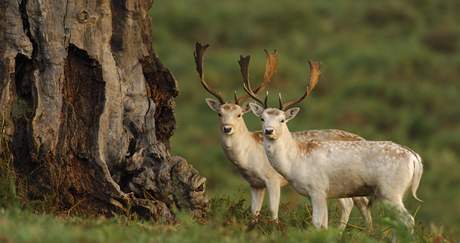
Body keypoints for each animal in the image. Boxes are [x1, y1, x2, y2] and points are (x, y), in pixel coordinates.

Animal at [195, 42, 374, 230]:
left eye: (239, 114)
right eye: (219, 114)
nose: (227, 128)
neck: (249, 158)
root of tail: (361, 138)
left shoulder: (272, 179)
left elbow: (273, 210)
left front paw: (274, 228)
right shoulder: (255, 185)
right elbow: (254, 212)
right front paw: (253, 228)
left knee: (351, 203)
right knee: (360, 202)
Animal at [244, 59, 424, 230]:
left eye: (282, 120)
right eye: (262, 118)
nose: (269, 131)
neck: (296, 161)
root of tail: (415, 158)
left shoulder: (317, 188)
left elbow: (317, 224)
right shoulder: (323, 194)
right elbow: (324, 225)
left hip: (391, 190)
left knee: (408, 220)